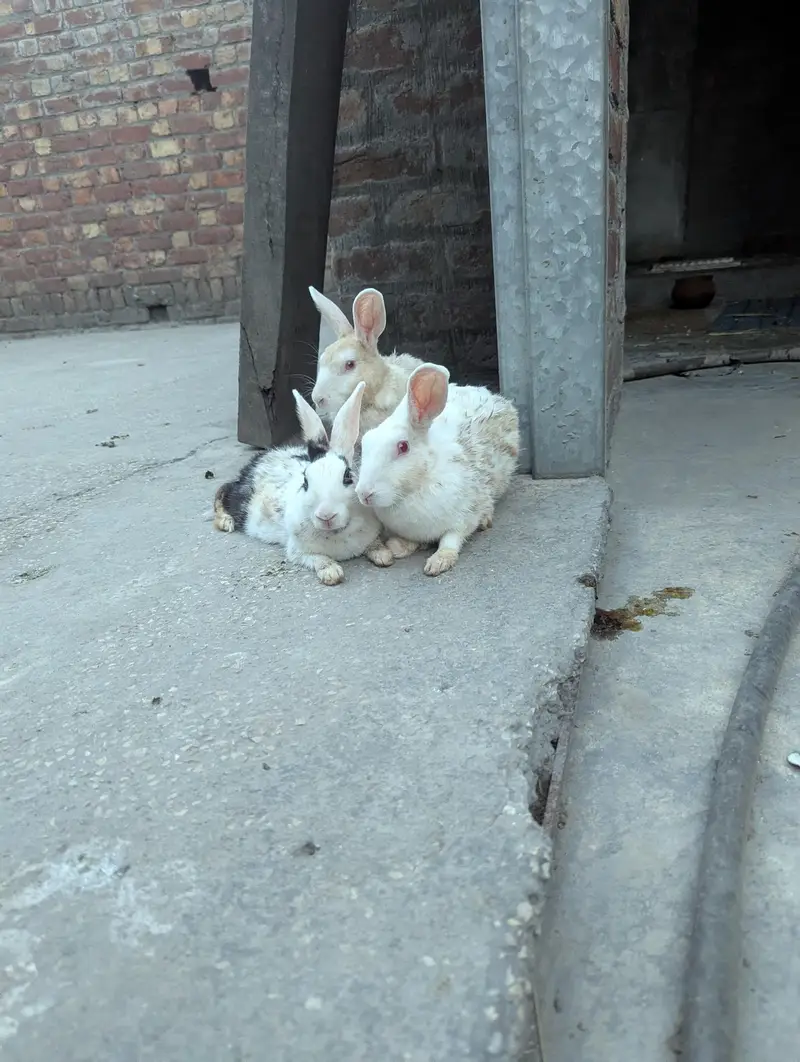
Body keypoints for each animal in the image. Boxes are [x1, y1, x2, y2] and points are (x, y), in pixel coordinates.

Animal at [213, 382, 394, 585]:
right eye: (305, 482)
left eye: (347, 477)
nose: (326, 515)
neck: (336, 532)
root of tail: (260, 458)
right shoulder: (298, 552)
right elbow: (318, 559)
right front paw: (331, 573)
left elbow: (375, 545)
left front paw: (384, 555)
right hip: (240, 500)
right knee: (222, 490)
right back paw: (226, 522)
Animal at [354, 363, 520, 577]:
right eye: (365, 441)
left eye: (403, 447)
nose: (364, 494)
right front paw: (398, 547)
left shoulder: (464, 516)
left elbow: (451, 539)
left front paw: (438, 562)